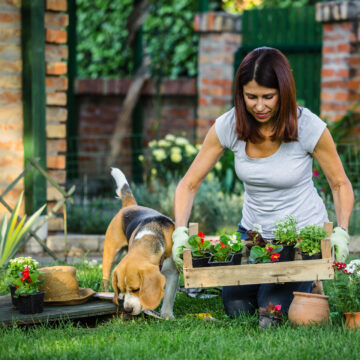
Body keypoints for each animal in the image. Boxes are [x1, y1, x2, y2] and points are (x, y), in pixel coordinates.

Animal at [101, 168, 179, 318]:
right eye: (121, 289)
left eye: (137, 289)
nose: (127, 310)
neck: (150, 235)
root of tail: (130, 206)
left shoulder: (173, 272)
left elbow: (169, 296)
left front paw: (166, 315)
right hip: (110, 254)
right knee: (105, 278)